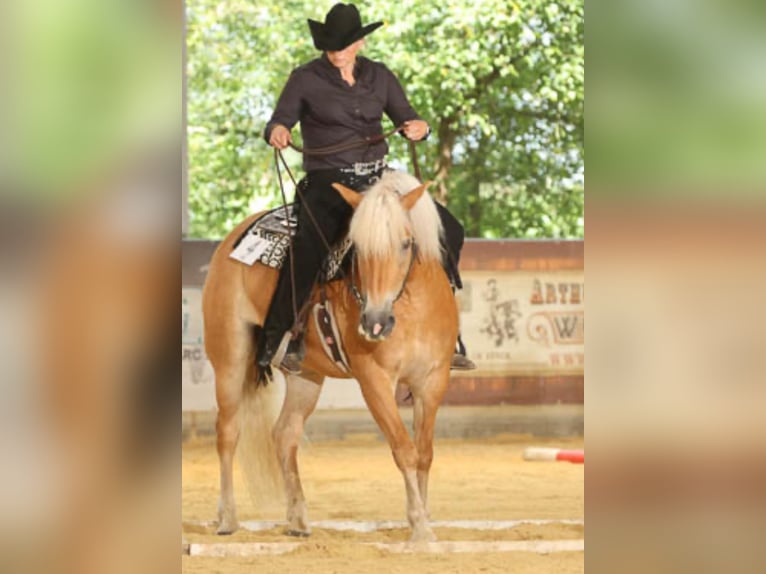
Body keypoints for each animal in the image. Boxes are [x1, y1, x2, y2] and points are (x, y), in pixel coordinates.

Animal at [201, 171, 460, 544]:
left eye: (406, 243)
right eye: (358, 248)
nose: (375, 322)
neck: (411, 309)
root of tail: (233, 240)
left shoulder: (433, 381)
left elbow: (424, 453)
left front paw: (423, 519)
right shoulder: (375, 381)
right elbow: (404, 449)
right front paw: (420, 526)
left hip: (305, 375)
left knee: (285, 434)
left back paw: (298, 519)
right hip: (229, 360)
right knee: (228, 432)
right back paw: (227, 518)